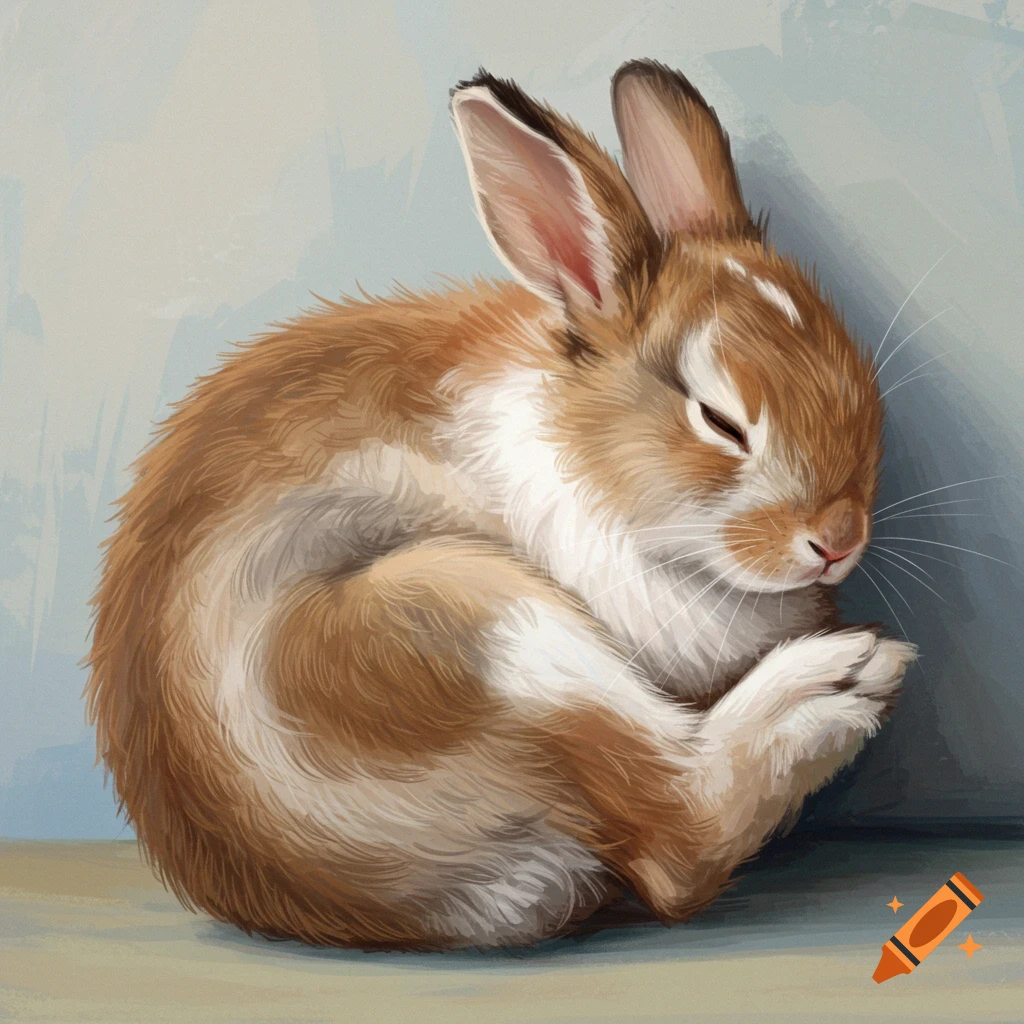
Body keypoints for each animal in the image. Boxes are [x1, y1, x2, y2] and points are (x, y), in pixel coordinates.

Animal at [86, 59, 916, 951]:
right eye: (720, 420)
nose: (838, 539)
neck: (589, 456)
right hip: (481, 627)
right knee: (677, 838)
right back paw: (844, 680)